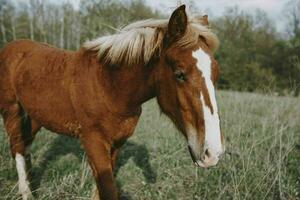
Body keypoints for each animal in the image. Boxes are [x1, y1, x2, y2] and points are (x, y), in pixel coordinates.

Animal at [0, 4, 225, 200]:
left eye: (215, 74)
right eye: (179, 74)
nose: (212, 152)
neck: (109, 85)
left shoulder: (116, 144)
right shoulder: (93, 142)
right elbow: (108, 190)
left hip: (35, 116)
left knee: (26, 147)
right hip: (12, 111)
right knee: (17, 147)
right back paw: (26, 193)